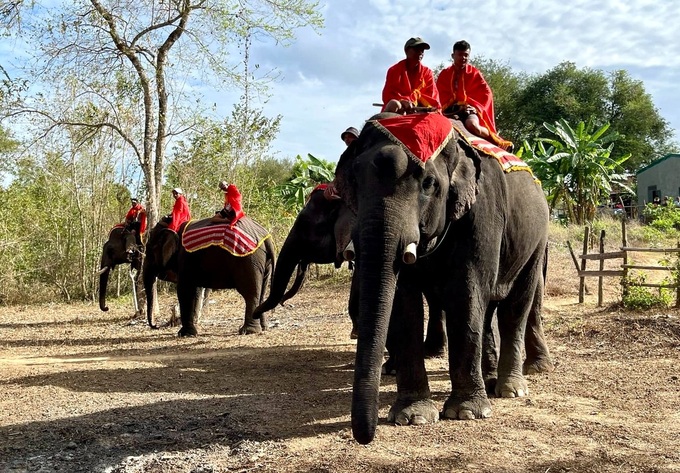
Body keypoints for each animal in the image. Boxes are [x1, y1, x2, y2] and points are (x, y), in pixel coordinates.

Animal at [334, 112, 552, 444]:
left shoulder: (482, 212)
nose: (364, 437)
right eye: (355, 181)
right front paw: (413, 417)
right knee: (489, 310)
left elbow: (466, 292)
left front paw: (467, 413)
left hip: (537, 238)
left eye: (428, 183)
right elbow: (403, 303)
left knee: (517, 305)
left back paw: (511, 388)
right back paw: (490, 381)